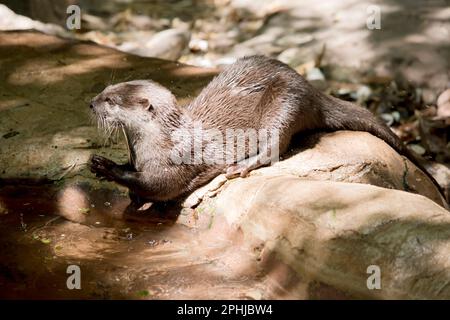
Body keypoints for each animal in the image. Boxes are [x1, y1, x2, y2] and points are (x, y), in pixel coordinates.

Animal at [89, 55, 444, 202]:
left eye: (111, 99)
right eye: (105, 91)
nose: (91, 103)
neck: (158, 143)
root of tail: (309, 87)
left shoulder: (176, 162)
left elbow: (158, 186)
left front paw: (105, 167)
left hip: (284, 102)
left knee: (276, 145)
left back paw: (241, 166)